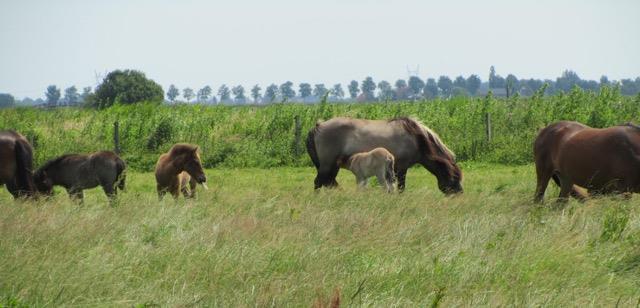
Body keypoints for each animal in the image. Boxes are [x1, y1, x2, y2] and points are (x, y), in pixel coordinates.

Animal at [308, 116, 462, 194]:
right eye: (455, 178)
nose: (460, 193)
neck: (416, 138)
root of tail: (319, 126)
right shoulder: (402, 168)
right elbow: (401, 187)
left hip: (333, 165)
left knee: (328, 181)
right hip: (328, 164)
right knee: (319, 182)